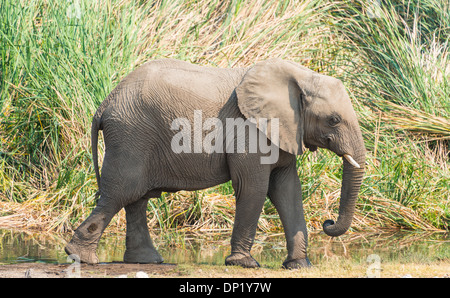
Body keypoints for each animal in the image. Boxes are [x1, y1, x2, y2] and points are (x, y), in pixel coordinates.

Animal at [64, 58, 366, 270]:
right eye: (334, 120)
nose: (327, 222)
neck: (301, 76)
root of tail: (104, 105)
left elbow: (288, 191)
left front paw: (300, 266)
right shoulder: (248, 130)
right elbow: (254, 188)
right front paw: (244, 264)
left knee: (136, 198)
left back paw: (145, 261)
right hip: (131, 135)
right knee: (121, 193)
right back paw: (81, 257)